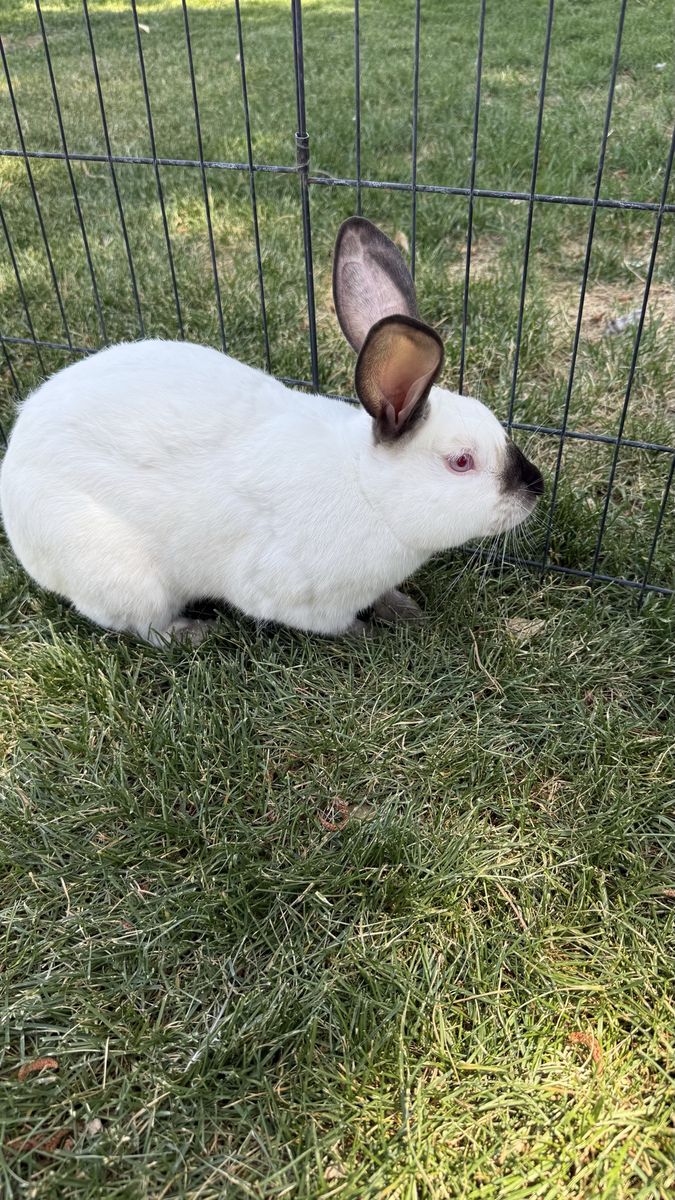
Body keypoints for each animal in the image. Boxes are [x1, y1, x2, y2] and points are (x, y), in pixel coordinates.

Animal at [0, 217, 543, 646]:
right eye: (461, 462)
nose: (535, 488)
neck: (369, 492)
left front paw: (404, 610)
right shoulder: (299, 597)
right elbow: (337, 624)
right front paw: (370, 636)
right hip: (129, 578)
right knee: (146, 628)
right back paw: (197, 633)